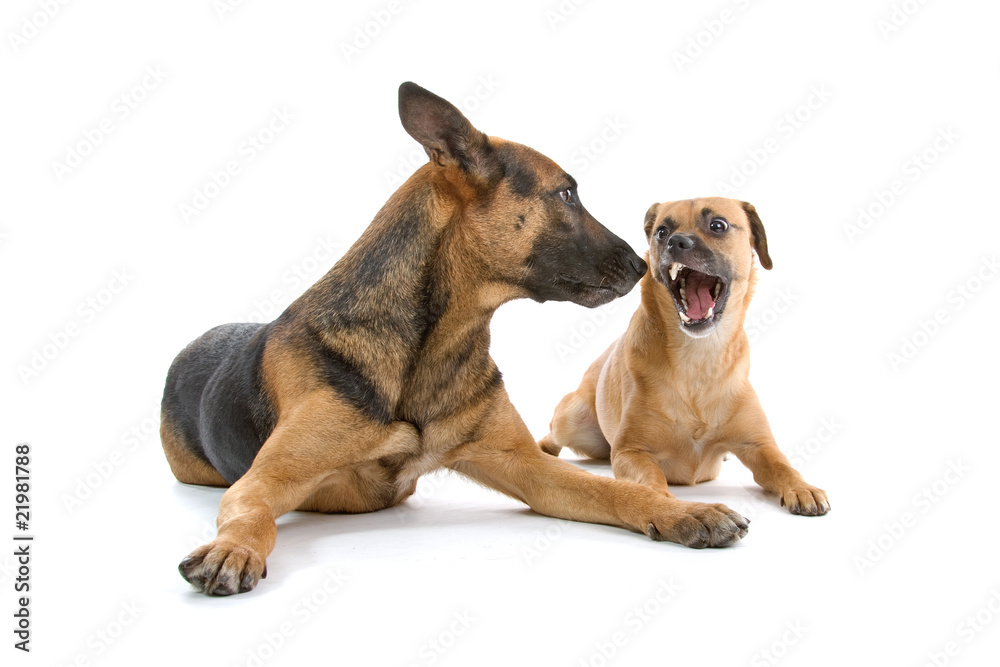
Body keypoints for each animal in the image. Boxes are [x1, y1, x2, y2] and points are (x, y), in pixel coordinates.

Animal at [158, 82, 752, 596]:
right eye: (565, 193)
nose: (640, 264)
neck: (432, 343)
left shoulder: (529, 469)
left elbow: (617, 488)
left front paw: (682, 511)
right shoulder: (268, 477)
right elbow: (253, 512)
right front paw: (234, 547)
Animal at [544, 197, 832, 516]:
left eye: (718, 225)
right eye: (661, 231)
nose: (676, 241)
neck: (699, 357)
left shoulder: (759, 445)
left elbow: (783, 466)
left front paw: (802, 487)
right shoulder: (632, 452)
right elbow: (650, 478)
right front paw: (664, 505)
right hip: (572, 418)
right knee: (553, 434)